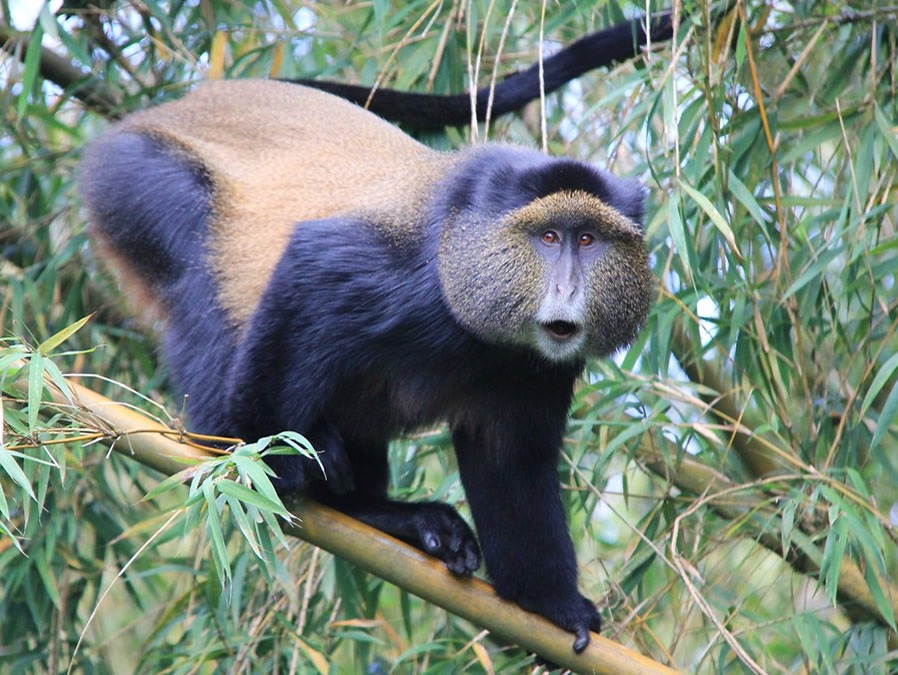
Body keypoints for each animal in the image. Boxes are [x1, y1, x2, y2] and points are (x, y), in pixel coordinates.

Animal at [79, 79, 652, 654]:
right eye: (549, 237)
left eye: (588, 239)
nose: (567, 290)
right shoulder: (403, 274)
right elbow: (309, 270)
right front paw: (265, 457)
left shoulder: (540, 370)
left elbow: (509, 461)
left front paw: (551, 605)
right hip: (137, 182)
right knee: (199, 285)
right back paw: (234, 445)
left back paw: (385, 516)